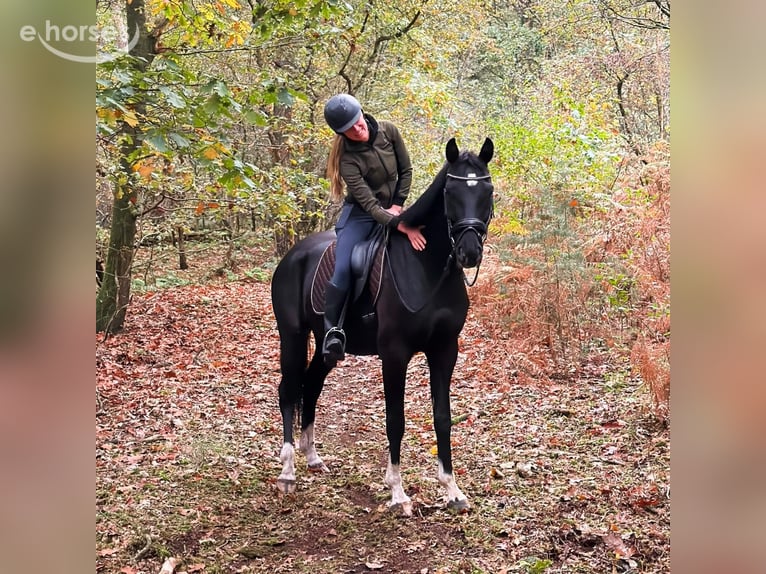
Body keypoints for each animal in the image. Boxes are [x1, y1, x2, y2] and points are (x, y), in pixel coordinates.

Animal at [270, 137, 494, 515]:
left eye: (487, 191)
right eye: (449, 192)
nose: (469, 253)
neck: (425, 266)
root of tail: (292, 256)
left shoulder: (445, 350)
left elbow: (443, 417)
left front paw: (452, 490)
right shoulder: (394, 354)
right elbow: (395, 421)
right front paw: (398, 492)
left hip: (327, 344)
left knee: (311, 385)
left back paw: (312, 457)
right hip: (293, 336)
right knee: (288, 391)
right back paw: (287, 472)